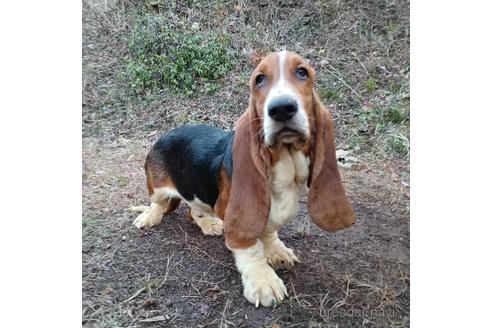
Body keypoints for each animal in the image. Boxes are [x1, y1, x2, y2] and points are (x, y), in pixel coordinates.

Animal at [133, 50, 356, 308]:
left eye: (303, 72)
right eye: (259, 79)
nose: (281, 108)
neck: (285, 160)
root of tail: (163, 136)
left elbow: (268, 231)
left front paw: (276, 251)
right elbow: (250, 248)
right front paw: (263, 280)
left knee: (193, 211)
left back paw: (209, 224)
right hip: (157, 186)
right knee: (158, 204)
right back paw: (149, 217)